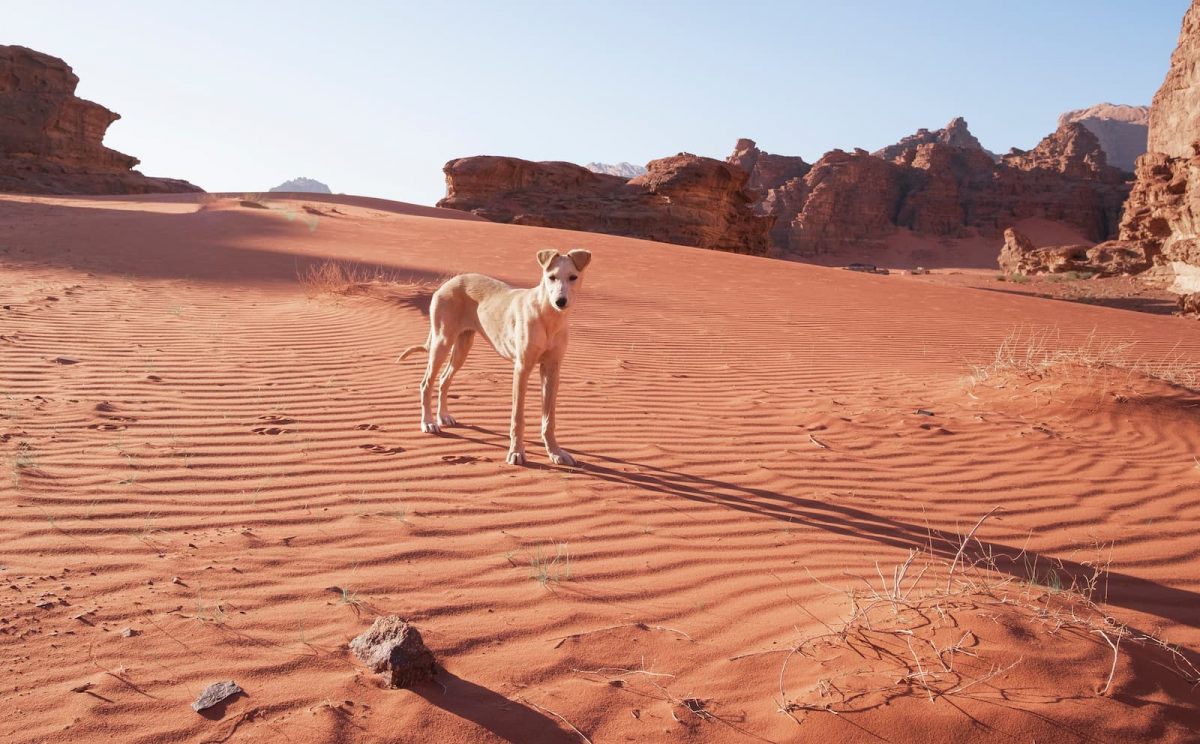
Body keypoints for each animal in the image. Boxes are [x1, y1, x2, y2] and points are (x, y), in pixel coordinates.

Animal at [400, 249, 592, 465]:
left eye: (573, 277)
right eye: (551, 277)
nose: (560, 301)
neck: (548, 316)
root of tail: (449, 282)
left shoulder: (551, 369)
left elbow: (549, 419)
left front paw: (555, 452)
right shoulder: (522, 368)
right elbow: (517, 417)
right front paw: (516, 452)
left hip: (463, 346)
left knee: (443, 379)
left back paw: (443, 416)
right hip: (442, 342)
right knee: (426, 383)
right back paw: (428, 422)